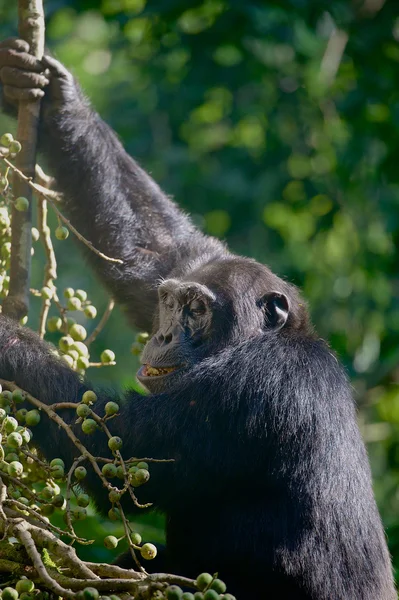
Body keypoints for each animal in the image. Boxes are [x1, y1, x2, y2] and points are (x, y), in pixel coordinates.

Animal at [0, 38, 396, 600]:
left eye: (197, 310)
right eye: (170, 301)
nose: (164, 331)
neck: (257, 343)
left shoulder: (254, 391)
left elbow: (120, 447)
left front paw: (4, 337)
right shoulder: (190, 262)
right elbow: (156, 249)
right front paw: (50, 89)